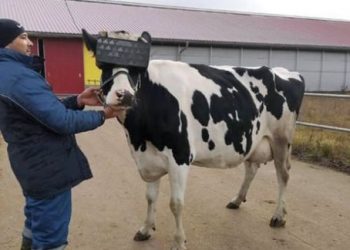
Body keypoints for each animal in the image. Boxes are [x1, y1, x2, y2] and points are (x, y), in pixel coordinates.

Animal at [81, 29, 304, 250]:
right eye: (103, 66)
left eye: (138, 69)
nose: (124, 95)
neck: (139, 136)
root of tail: (287, 72)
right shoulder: (148, 159)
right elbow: (150, 197)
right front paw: (145, 229)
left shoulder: (180, 156)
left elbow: (176, 204)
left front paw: (179, 241)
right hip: (253, 139)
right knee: (251, 168)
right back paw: (237, 200)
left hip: (281, 139)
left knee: (283, 174)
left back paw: (278, 216)